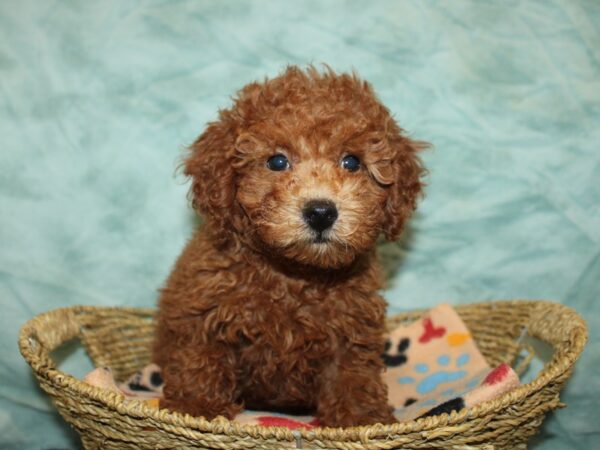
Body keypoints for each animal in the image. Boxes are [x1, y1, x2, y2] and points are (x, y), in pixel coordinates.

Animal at [155, 66, 426, 426]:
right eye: (277, 162)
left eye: (352, 162)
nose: (321, 212)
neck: (295, 272)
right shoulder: (202, 308)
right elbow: (200, 358)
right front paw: (195, 407)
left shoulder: (353, 330)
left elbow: (353, 375)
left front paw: (361, 418)